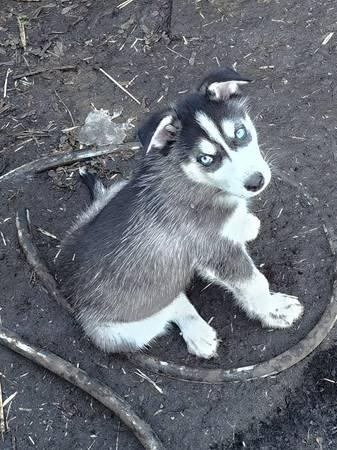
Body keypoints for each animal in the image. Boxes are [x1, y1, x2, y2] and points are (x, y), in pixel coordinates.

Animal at [54, 67, 302, 358]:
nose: (256, 181)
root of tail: (63, 273)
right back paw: (197, 333)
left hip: (119, 188)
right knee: (167, 306)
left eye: (240, 133)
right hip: (123, 332)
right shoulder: (217, 251)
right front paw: (273, 309)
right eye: (206, 159)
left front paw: (242, 224)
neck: (197, 182)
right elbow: (254, 284)